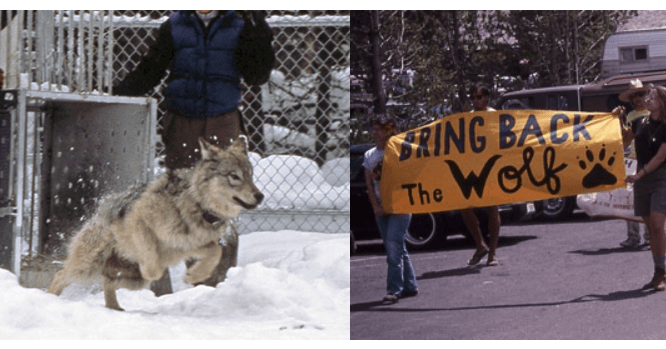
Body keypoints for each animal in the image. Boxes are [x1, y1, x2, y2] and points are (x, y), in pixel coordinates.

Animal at [47, 137, 262, 308]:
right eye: (234, 176)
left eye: (251, 175)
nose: (260, 196)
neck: (197, 206)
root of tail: (101, 208)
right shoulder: (139, 222)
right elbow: (154, 267)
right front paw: (158, 269)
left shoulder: (187, 246)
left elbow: (215, 252)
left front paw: (194, 275)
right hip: (89, 265)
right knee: (60, 276)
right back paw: (49, 300)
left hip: (132, 280)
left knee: (107, 281)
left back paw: (115, 309)